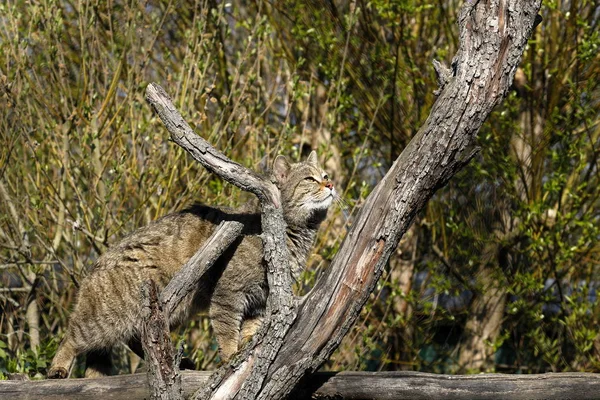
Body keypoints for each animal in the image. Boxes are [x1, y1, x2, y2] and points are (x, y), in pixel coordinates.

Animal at [48, 151, 336, 378]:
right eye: (310, 179)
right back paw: (58, 367)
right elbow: (227, 328)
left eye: (325, 174)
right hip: (105, 318)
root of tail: (97, 262)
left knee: (136, 340)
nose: (331, 183)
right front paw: (231, 354)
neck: (294, 234)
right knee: (72, 337)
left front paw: (248, 344)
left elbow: (250, 327)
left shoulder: (261, 298)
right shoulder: (228, 292)